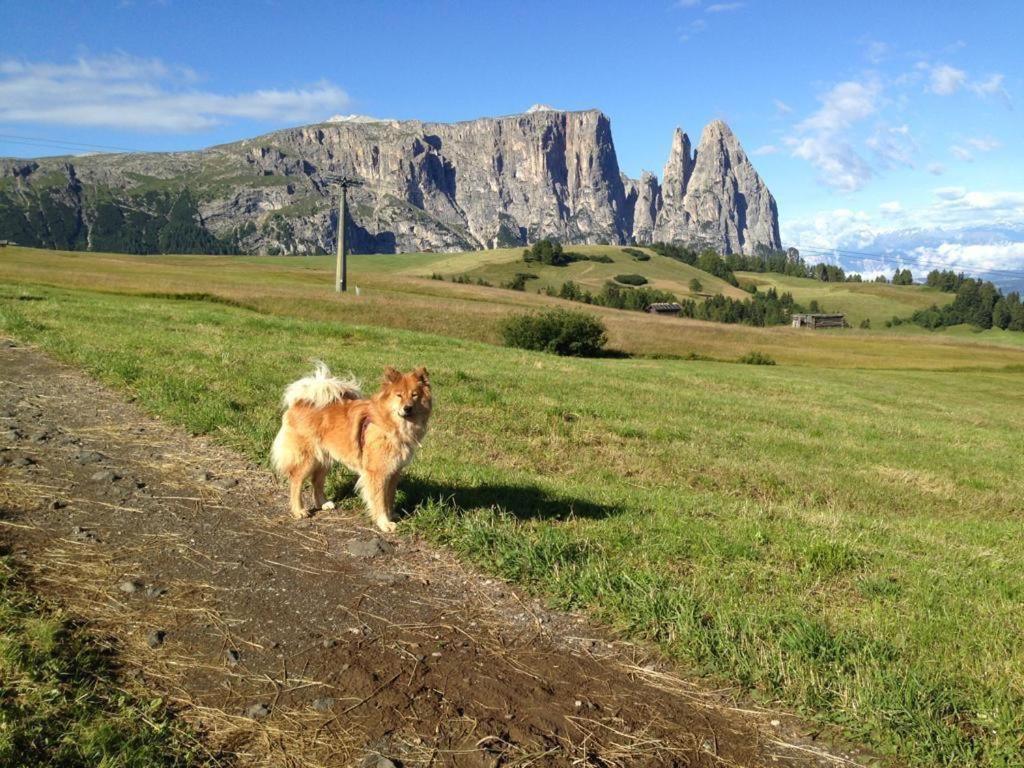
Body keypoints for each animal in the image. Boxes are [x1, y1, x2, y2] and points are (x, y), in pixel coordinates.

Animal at [270, 364, 430, 532]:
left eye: (414, 395)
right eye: (399, 395)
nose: (408, 408)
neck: (390, 425)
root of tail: (300, 401)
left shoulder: (394, 471)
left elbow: (389, 497)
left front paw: (391, 514)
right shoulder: (377, 473)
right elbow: (379, 500)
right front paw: (384, 522)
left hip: (326, 458)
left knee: (316, 481)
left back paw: (323, 503)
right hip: (308, 458)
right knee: (296, 481)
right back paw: (298, 510)